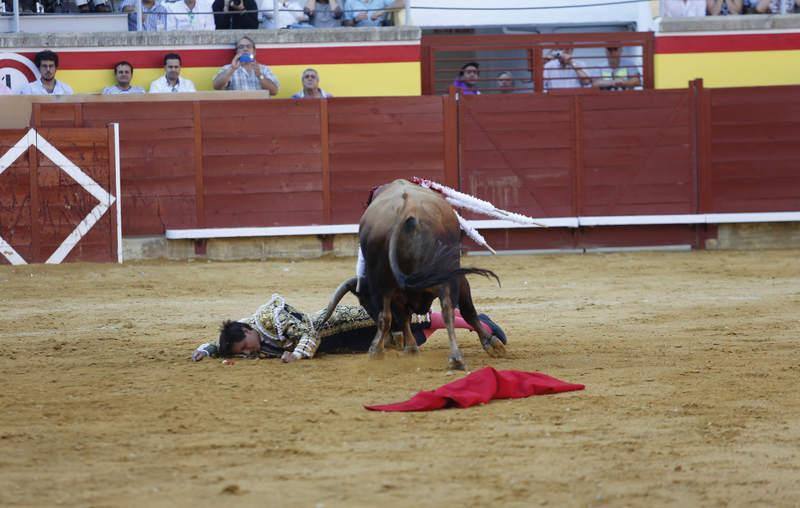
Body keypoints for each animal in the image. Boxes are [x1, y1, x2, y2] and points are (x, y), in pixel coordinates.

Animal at [322, 181, 504, 372]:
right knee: (447, 310)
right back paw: (456, 358)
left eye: (363, 302)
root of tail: (407, 210)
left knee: (388, 316)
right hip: (444, 274)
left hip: (389, 281)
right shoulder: (456, 278)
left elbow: (401, 316)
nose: (393, 340)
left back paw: (377, 350)